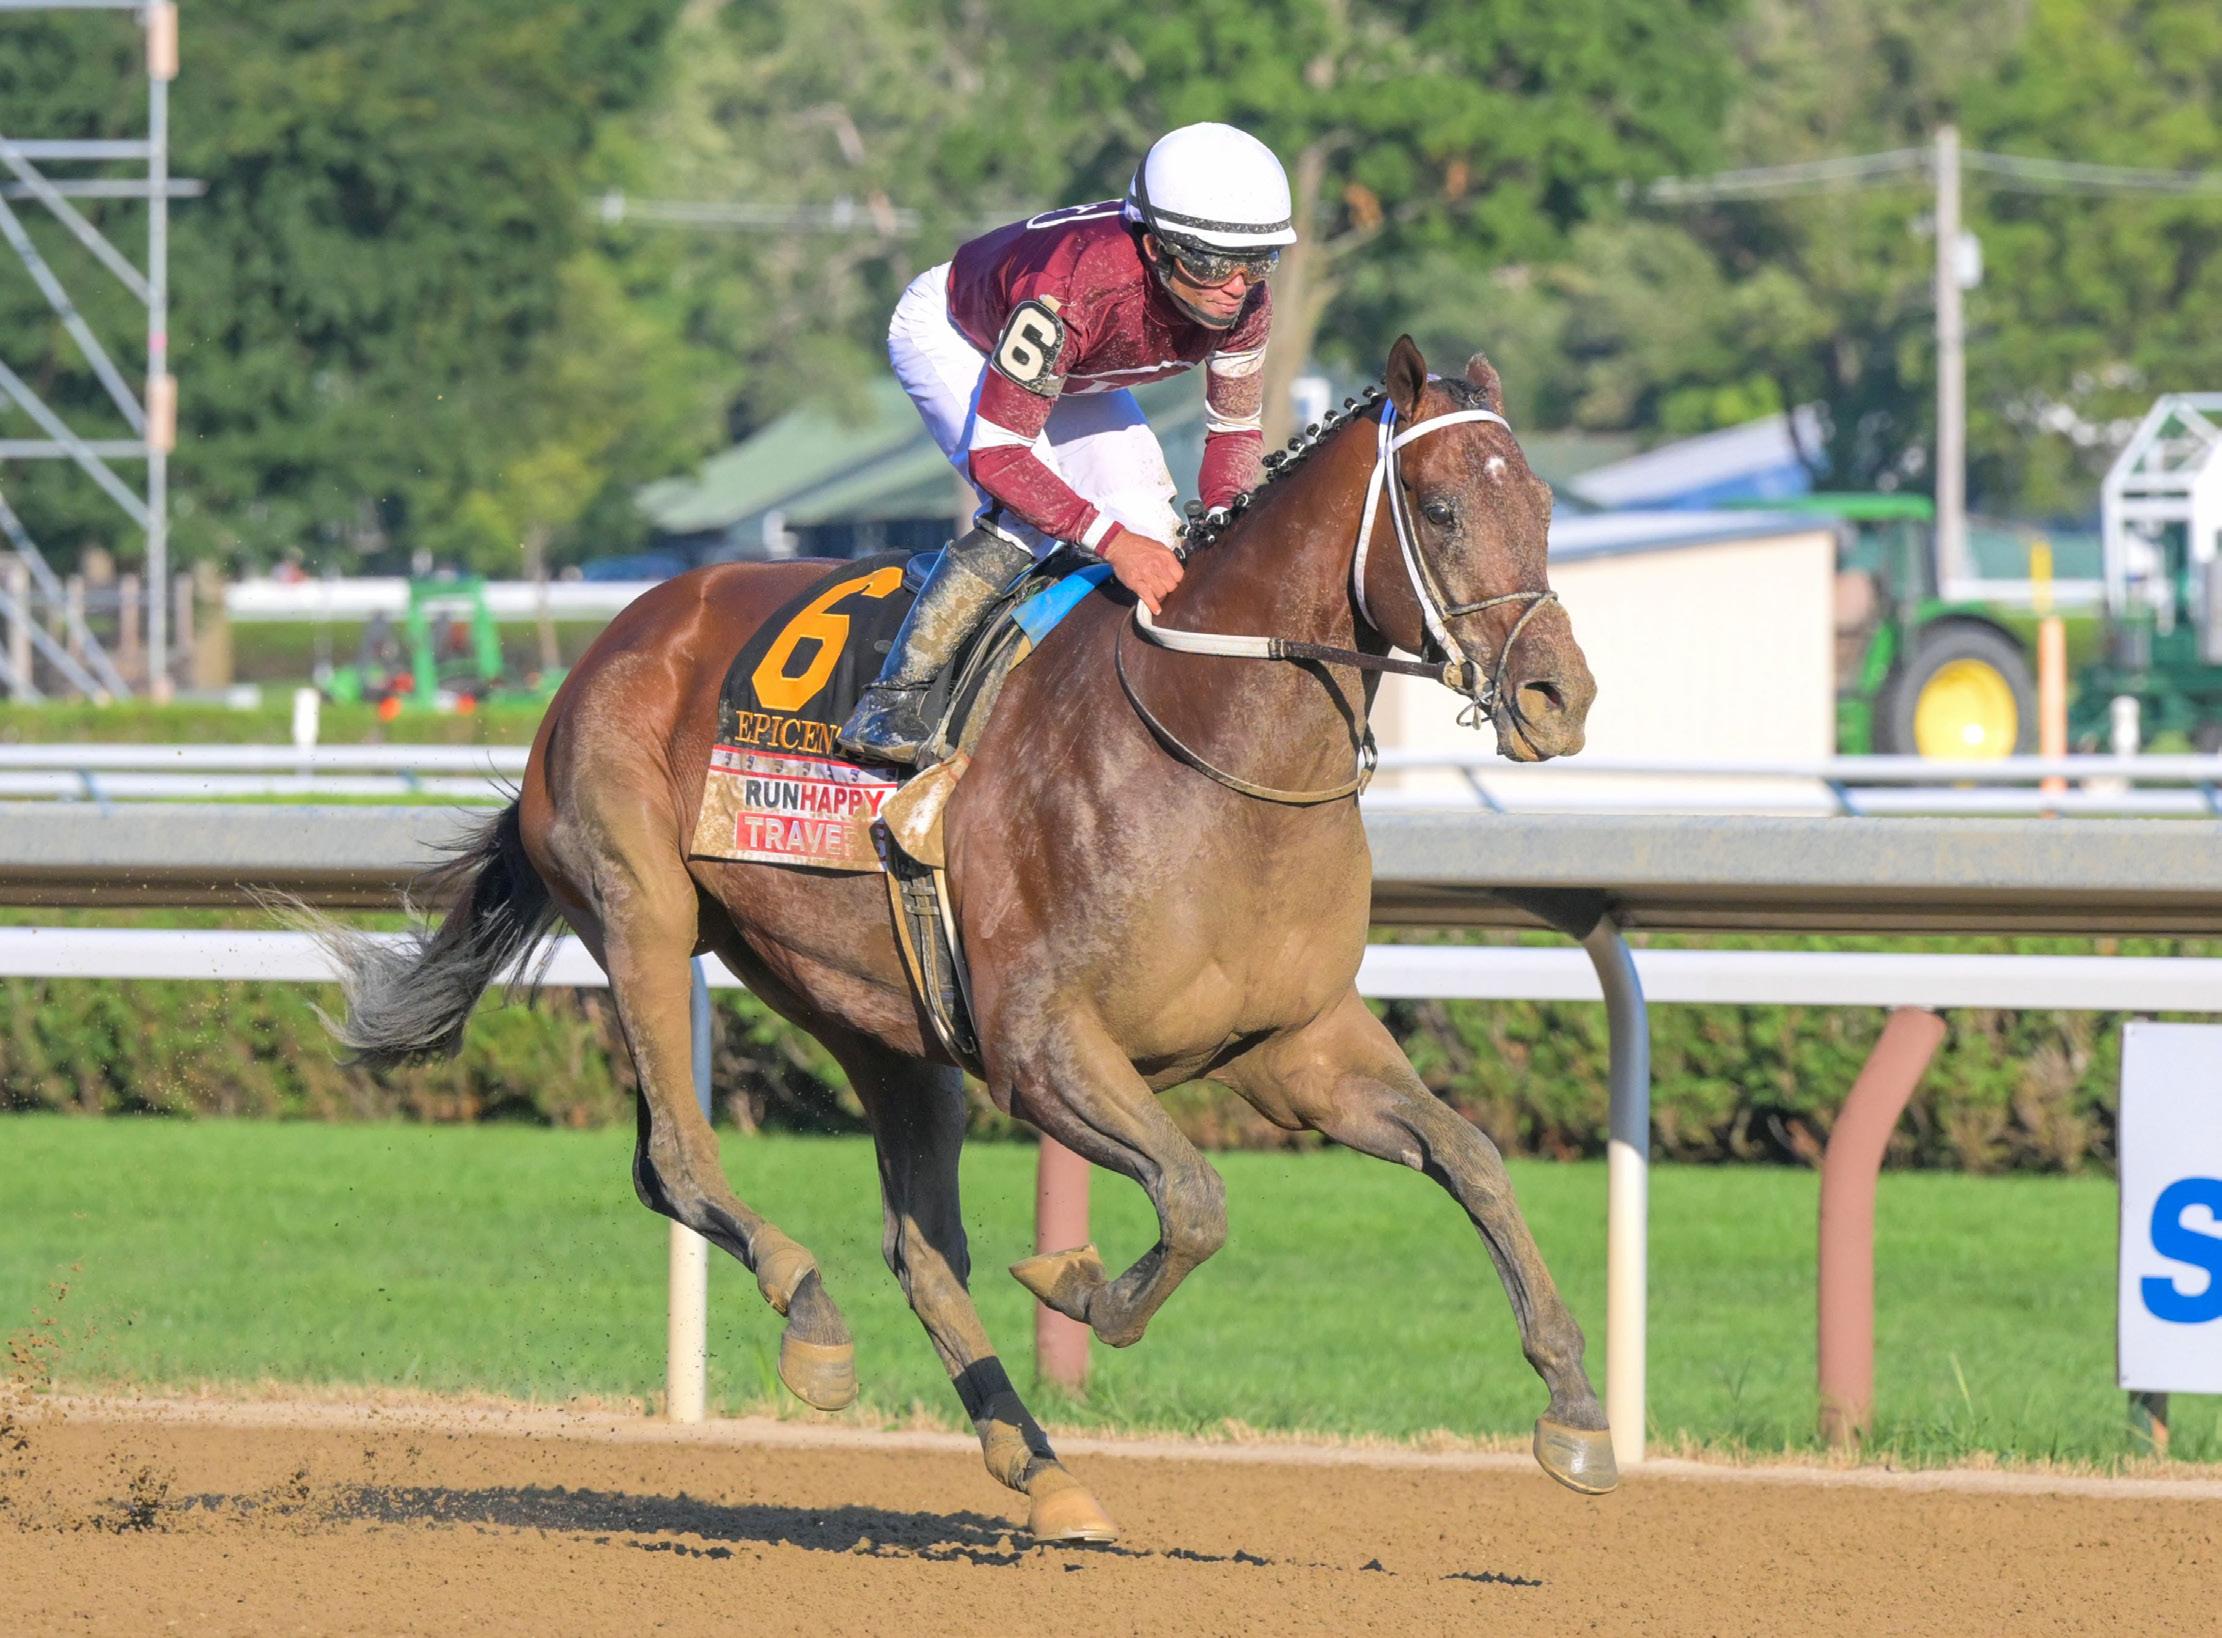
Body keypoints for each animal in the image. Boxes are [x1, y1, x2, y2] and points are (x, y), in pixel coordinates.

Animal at [318, 335, 1609, 1543]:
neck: (1207, 745)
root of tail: (608, 641)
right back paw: (812, 1314)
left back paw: (1040, 1470)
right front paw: (1076, 1282)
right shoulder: (1038, 1049)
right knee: (677, 1162)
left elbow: (1469, 1157)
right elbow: (1194, 1199)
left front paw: (1575, 1413)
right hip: (639, 904)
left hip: (876, 1017)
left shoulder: (1293, 1048)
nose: (1558, 697)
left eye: (1543, 507)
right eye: (1439, 508)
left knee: (918, 1244)